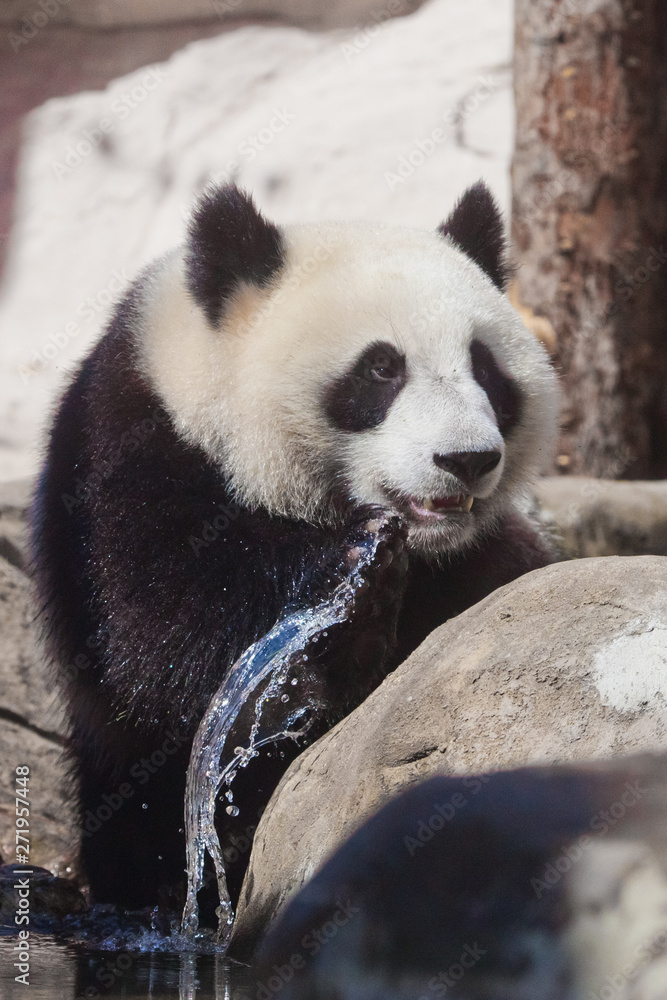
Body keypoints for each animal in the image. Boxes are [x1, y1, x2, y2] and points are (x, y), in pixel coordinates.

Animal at [29, 181, 558, 915]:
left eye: (485, 368)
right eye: (381, 368)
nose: (467, 459)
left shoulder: (480, 559)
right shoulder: (132, 455)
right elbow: (158, 634)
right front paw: (349, 598)